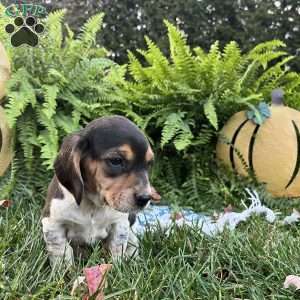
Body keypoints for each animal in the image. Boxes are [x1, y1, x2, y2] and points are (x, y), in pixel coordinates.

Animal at [42, 116, 161, 266]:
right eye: (116, 160)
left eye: (149, 164)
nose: (145, 198)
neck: (93, 204)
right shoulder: (52, 223)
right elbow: (61, 252)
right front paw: (65, 271)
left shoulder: (120, 223)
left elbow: (116, 247)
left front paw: (116, 267)